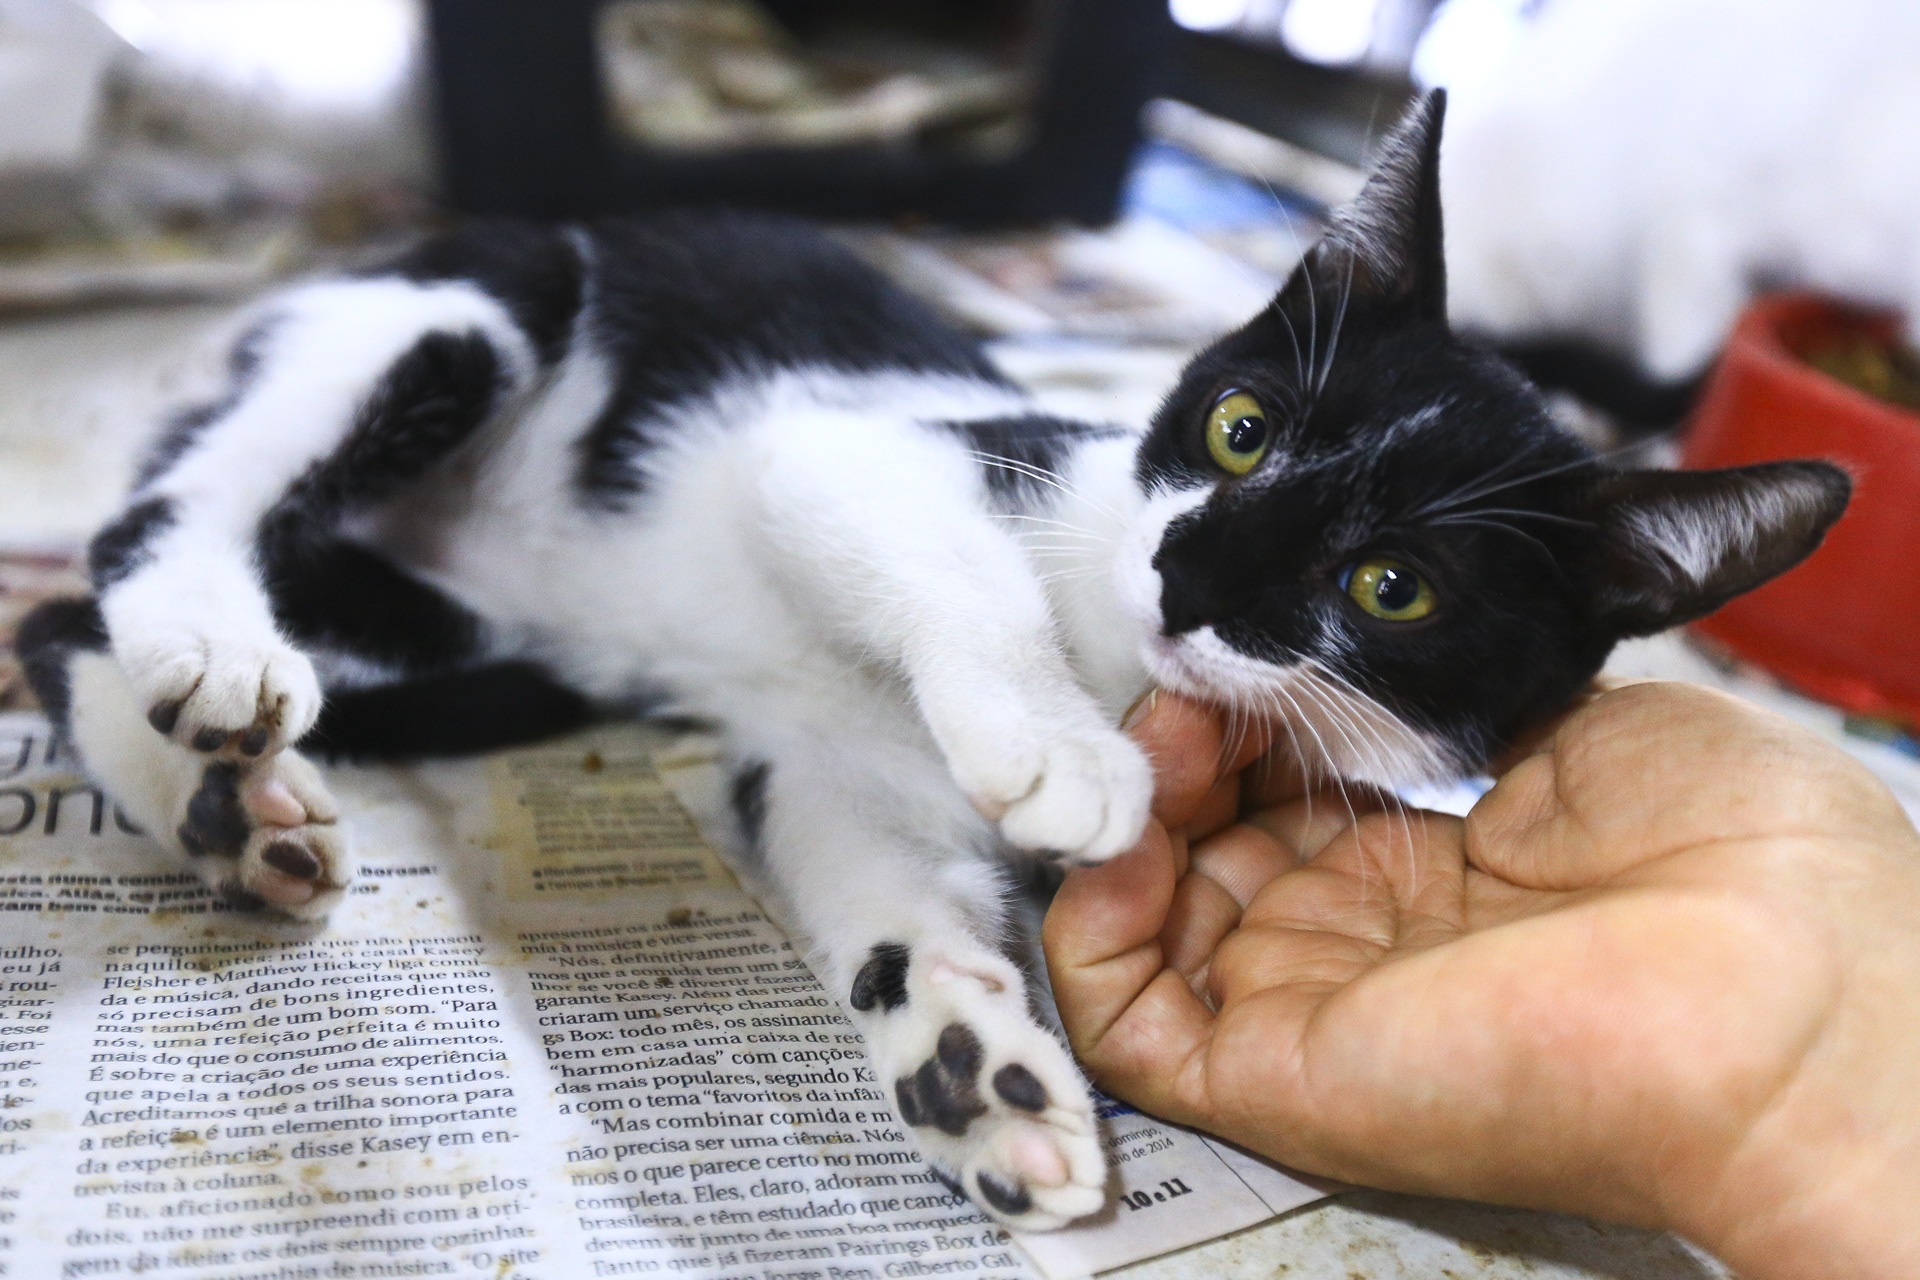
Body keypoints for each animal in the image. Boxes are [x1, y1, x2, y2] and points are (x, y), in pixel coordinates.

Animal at [11, 92, 1843, 1228]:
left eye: (1391, 587)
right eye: (1241, 429)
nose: (1189, 574)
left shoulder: (832, 761)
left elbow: (873, 878)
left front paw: (975, 1067)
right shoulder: (847, 449)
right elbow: (952, 572)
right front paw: (1057, 748)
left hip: (488, 642)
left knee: (57, 621)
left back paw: (219, 807)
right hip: (467, 311)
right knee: (141, 534)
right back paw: (211, 663)